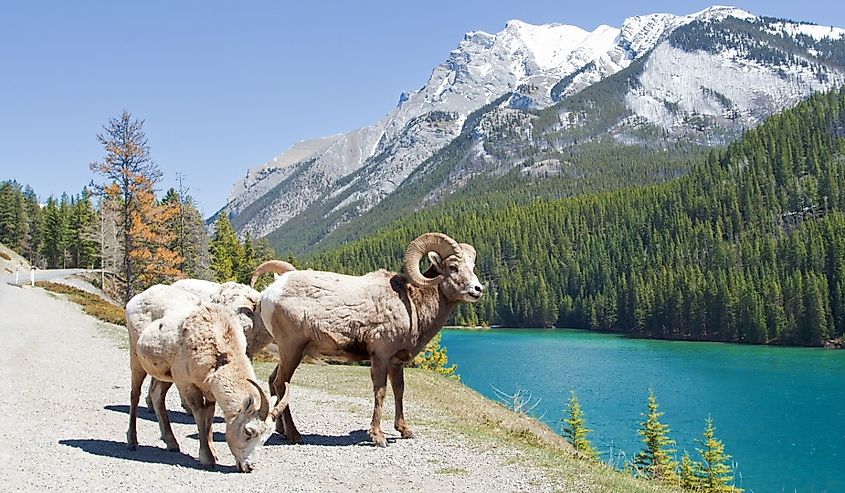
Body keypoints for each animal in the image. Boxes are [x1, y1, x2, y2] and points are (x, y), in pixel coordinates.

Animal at [122, 286, 286, 470]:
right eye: (248, 431)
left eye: (266, 438)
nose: (249, 467)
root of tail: (138, 298)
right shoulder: (187, 384)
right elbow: (200, 415)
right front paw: (207, 458)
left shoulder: (209, 390)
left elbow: (209, 417)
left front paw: (213, 452)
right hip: (136, 358)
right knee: (135, 395)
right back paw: (132, 442)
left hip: (165, 376)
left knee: (157, 396)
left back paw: (172, 444)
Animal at [256, 232, 482, 446]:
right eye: (452, 267)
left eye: (471, 267)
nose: (477, 290)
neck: (411, 304)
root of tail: (269, 293)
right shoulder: (380, 356)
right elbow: (380, 392)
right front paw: (378, 437)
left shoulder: (396, 362)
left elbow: (399, 391)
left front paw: (405, 431)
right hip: (292, 350)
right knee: (281, 384)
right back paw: (295, 435)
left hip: (290, 354)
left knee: (274, 381)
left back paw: (282, 430)